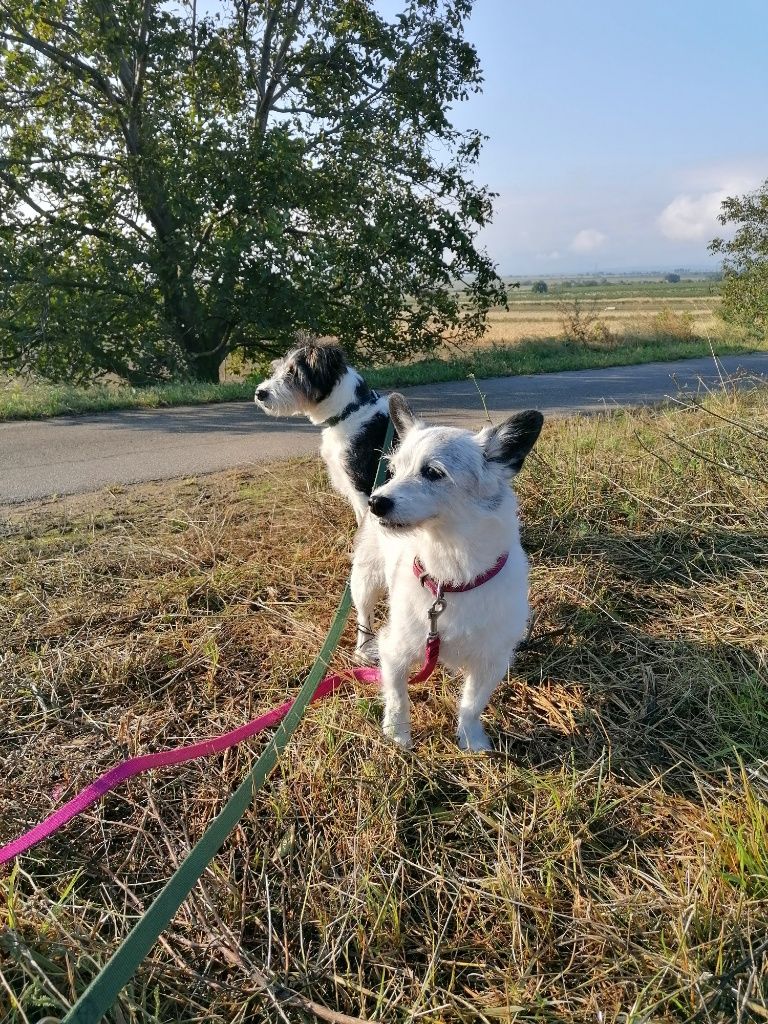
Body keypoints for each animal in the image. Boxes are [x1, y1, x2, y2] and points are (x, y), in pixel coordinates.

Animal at [352, 391, 544, 753]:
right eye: (394, 471)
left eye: (432, 472)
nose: (376, 502)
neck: (450, 575)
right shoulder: (395, 652)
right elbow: (397, 696)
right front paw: (398, 733)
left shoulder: (490, 663)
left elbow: (472, 704)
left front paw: (470, 739)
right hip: (365, 581)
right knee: (363, 616)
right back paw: (362, 648)